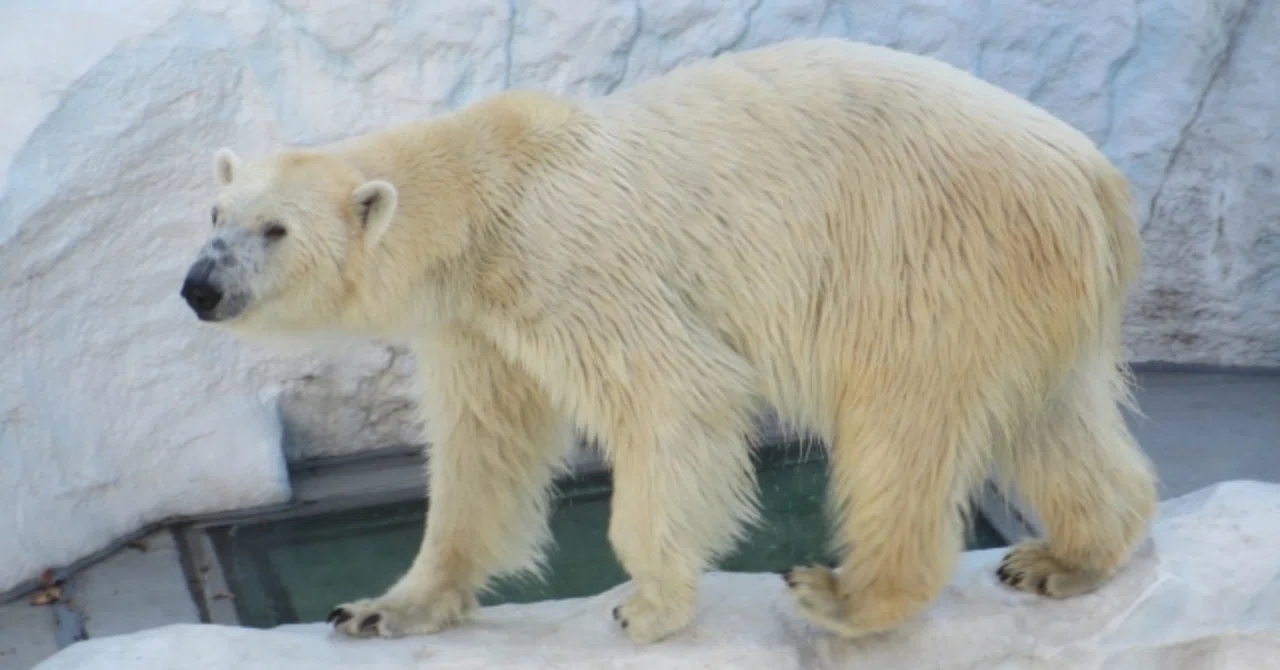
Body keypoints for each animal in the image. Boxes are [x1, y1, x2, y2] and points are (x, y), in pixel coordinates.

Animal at [180, 37, 1158, 644]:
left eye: (275, 230)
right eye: (217, 213)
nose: (200, 287)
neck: (488, 186)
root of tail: (1095, 177)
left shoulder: (568, 262)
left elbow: (674, 393)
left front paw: (647, 607)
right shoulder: (476, 320)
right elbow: (483, 452)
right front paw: (383, 608)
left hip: (932, 257)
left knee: (900, 423)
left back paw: (846, 593)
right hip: (1027, 289)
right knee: (1053, 419)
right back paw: (1064, 557)